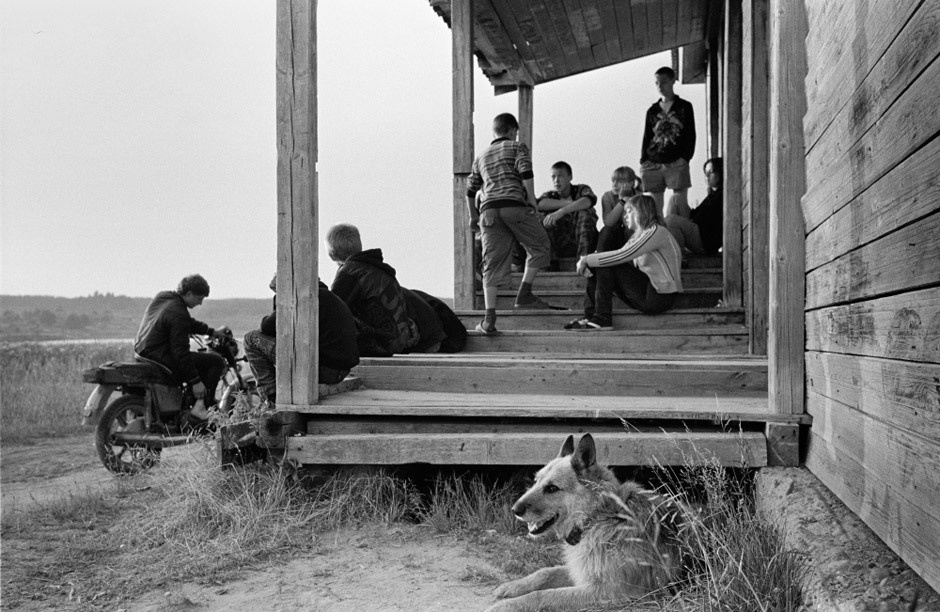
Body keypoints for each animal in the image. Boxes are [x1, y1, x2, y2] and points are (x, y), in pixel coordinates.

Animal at [488, 430, 688, 612]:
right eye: (536, 481)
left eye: (552, 488)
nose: (515, 510)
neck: (598, 517)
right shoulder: (581, 570)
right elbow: (545, 572)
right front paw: (513, 586)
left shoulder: (606, 591)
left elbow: (544, 595)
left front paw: (507, 606)